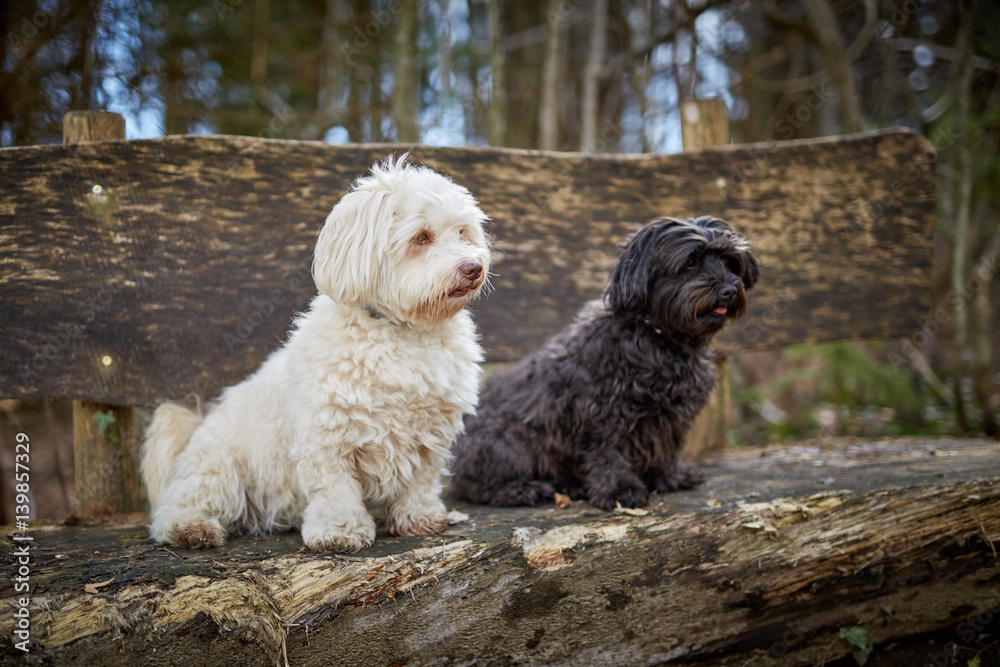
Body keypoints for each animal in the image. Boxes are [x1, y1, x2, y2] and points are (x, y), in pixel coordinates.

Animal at [143, 158, 494, 552]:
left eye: (463, 232)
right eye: (421, 237)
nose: (473, 267)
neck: (404, 331)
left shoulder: (430, 433)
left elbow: (420, 480)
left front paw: (419, 517)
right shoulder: (327, 434)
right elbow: (335, 488)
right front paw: (339, 531)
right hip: (219, 469)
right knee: (176, 509)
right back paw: (192, 528)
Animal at [452, 217, 756, 508]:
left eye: (731, 262)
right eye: (691, 262)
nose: (729, 290)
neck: (659, 338)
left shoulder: (671, 417)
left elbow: (666, 449)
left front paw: (670, 477)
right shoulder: (605, 414)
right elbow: (609, 454)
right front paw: (621, 491)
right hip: (508, 440)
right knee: (477, 487)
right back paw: (526, 490)